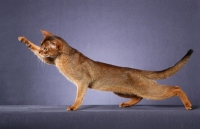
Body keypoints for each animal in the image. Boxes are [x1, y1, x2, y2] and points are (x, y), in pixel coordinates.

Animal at [18, 30, 193, 111]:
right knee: (139, 97)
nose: (42, 52)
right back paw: (126, 104)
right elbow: (32, 47)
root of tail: (138, 70)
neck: (63, 56)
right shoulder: (51, 61)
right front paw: (24, 40)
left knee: (175, 88)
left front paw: (74, 107)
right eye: (42, 46)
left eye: (46, 48)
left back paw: (188, 105)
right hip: (122, 91)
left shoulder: (82, 82)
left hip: (150, 90)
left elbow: (79, 96)